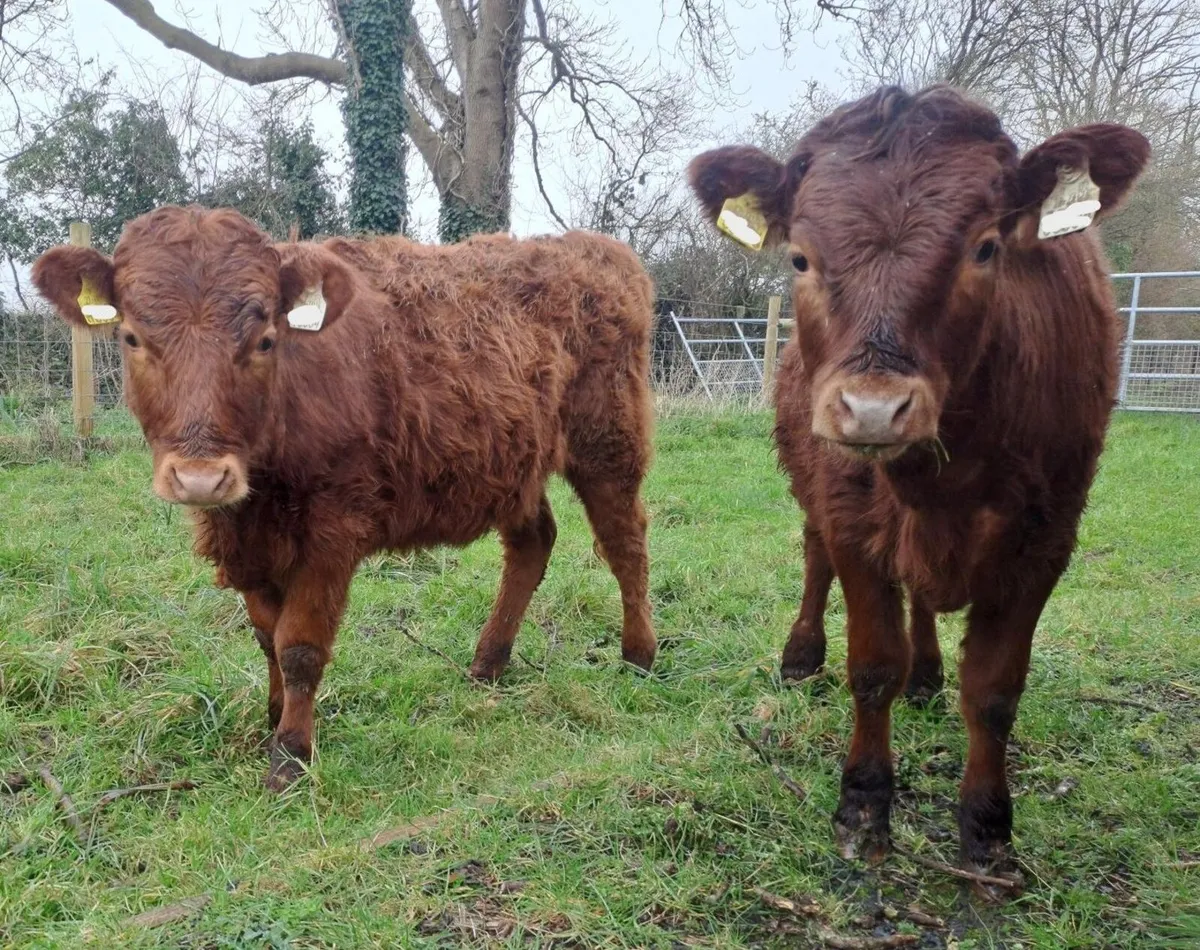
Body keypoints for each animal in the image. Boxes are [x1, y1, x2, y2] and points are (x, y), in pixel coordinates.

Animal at [32, 207, 658, 790]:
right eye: (132, 338)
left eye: (265, 340)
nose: (202, 478)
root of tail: (594, 248)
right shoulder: (249, 543)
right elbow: (267, 637)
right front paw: (273, 718)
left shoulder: (333, 530)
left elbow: (300, 646)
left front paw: (290, 756)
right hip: (513, 464)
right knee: (533, 544)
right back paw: (488, 663)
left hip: (608, 442)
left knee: (625, 545)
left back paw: (638, 656)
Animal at [688, 86, 1149, 894]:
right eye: (800, 257)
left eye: (986, 248)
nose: (873, 409)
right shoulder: (852, 520)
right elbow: (873, 666)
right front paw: (864, 809)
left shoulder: (1046, 540)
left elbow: (994, 691)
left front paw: (988, 831)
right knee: (816, 562)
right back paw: (802, 656)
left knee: (927, 608)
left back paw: (929, 675)